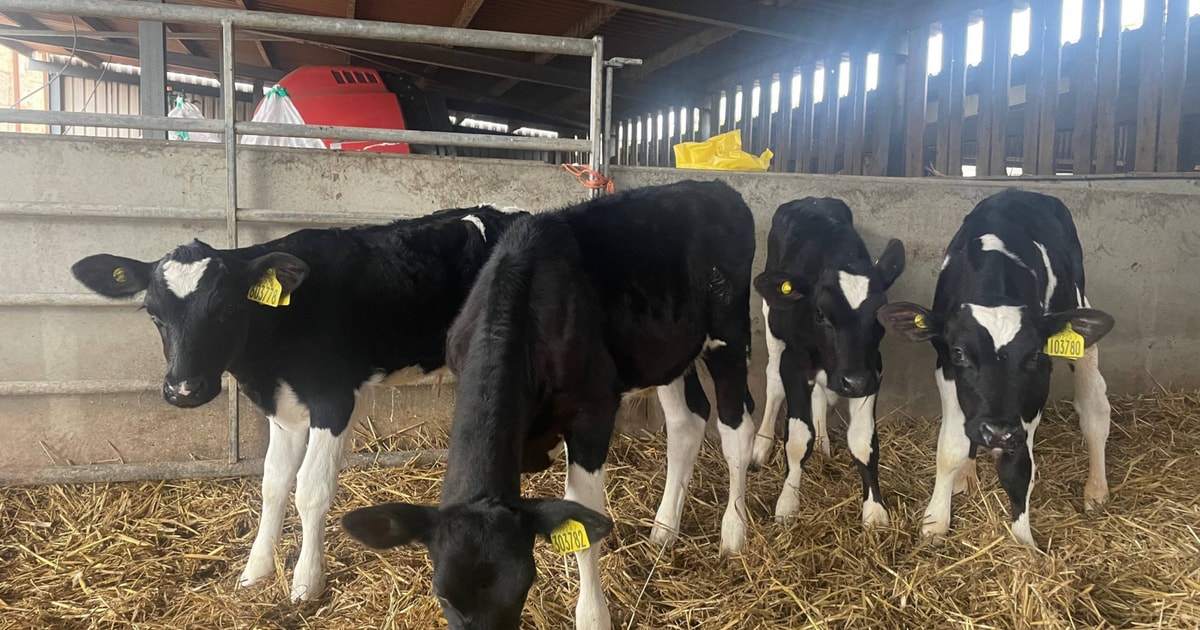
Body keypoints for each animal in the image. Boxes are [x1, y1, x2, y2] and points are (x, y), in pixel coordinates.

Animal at [69, 204, 528, 602]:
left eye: (227, 308)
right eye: (152, 313)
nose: (184, 390)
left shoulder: (333, 399)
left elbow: (311, 489)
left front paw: (306, 582)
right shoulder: (283, 408)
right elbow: (273, 483)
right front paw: (255, 571)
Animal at [340, 180, 757, 630]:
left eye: (525, 585)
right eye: (443, 595)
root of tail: (714, 185)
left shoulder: (593, 413)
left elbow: (583, 527)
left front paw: (593, 617)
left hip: (729, 335)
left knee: (736, 429)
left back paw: (734, 532)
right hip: (668, 355)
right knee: (687, 423)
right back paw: (664, 528)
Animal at [750, 197, 905, 527]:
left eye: (879, 313)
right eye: (820, 313)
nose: (853, 381)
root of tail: (812, 200)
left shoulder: (872, 372)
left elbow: (862, 440)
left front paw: (874, 510)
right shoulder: (793, 365)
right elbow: (797, 439)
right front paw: (788, 502)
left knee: (821, 394)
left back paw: (822, 442)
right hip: (771, 321)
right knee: (773, 383)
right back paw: (762, 444)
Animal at [877, 189, 1114, 549]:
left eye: (1033, 356)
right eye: (960, 353)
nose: (999, 432)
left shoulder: (1035, 388)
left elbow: (1020, 467)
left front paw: (1023, 541)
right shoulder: (946, 367)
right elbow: (952, 447)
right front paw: (936, 520)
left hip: (1079, 312)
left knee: (1095, 411)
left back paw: (1096, 490)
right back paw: (967, 474)